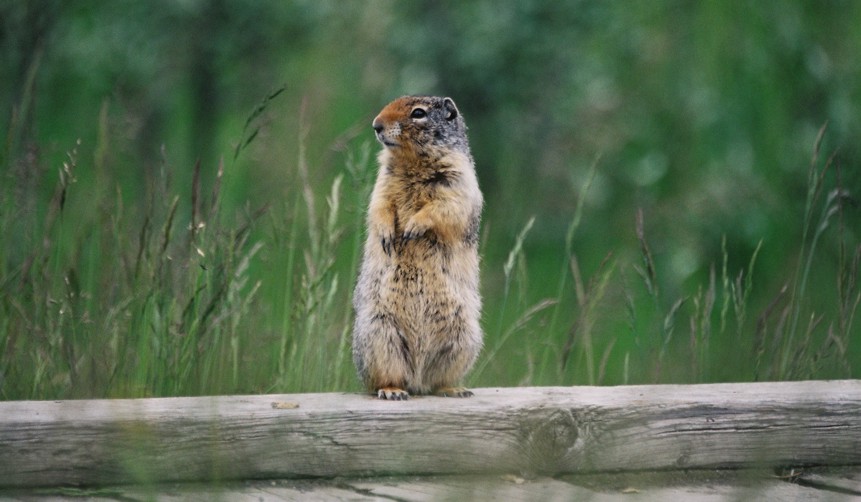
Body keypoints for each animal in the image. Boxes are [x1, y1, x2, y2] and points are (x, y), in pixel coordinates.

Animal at [352, 95, 484, 400]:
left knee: (437, 381)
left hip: (463, 337)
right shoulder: (382, 183)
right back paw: (392, 390)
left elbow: (445, 208)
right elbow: (379, 206)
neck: (412, 161)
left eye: (418, 113)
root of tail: (417, 377)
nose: (376, 125)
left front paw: (413, 227)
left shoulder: (458, 182)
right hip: (378, 334)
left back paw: (453, 388)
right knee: (387, 376)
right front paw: (388, 234)